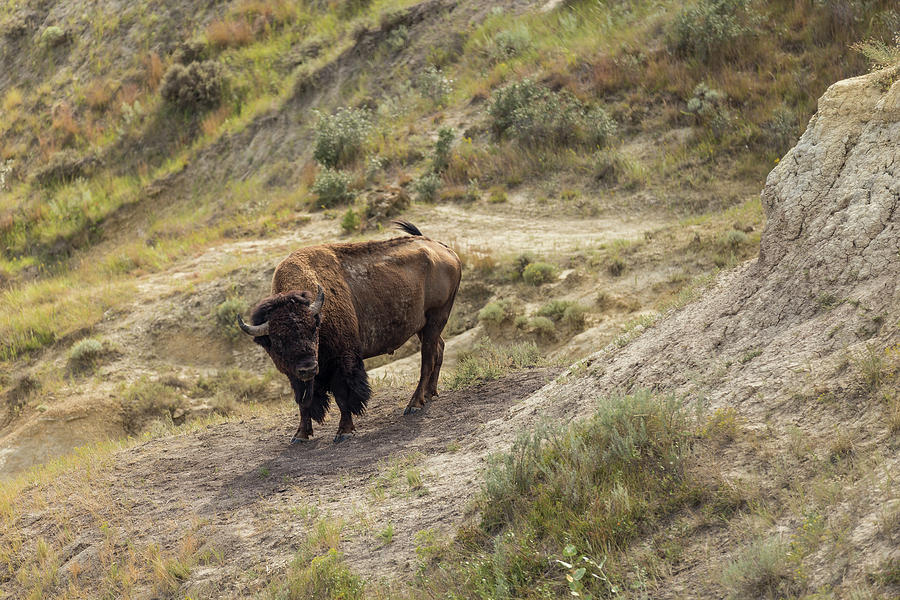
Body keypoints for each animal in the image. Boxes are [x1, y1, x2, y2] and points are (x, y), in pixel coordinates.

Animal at [237, 223, 460, 442]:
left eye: (313, 329)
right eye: (278, 340)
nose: (309, 368)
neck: (319, 312)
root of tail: (445, 250)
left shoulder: (342, 361)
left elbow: (343, 396)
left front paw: (343, 432)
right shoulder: (295, 374)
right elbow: (303, 401)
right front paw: (300, 435)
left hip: (435, 318)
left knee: (427, 360)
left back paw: (414, 404)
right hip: (423, 327)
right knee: (439, 349)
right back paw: (430, 394)